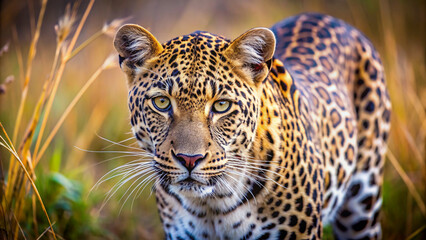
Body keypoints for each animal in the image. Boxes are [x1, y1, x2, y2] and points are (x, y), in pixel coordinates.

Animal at [113, 12, 392, 239]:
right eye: (161, 102)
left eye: (221, 106)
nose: (189, 159)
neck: (213, 206)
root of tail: (331, 18)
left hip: (363, 205)